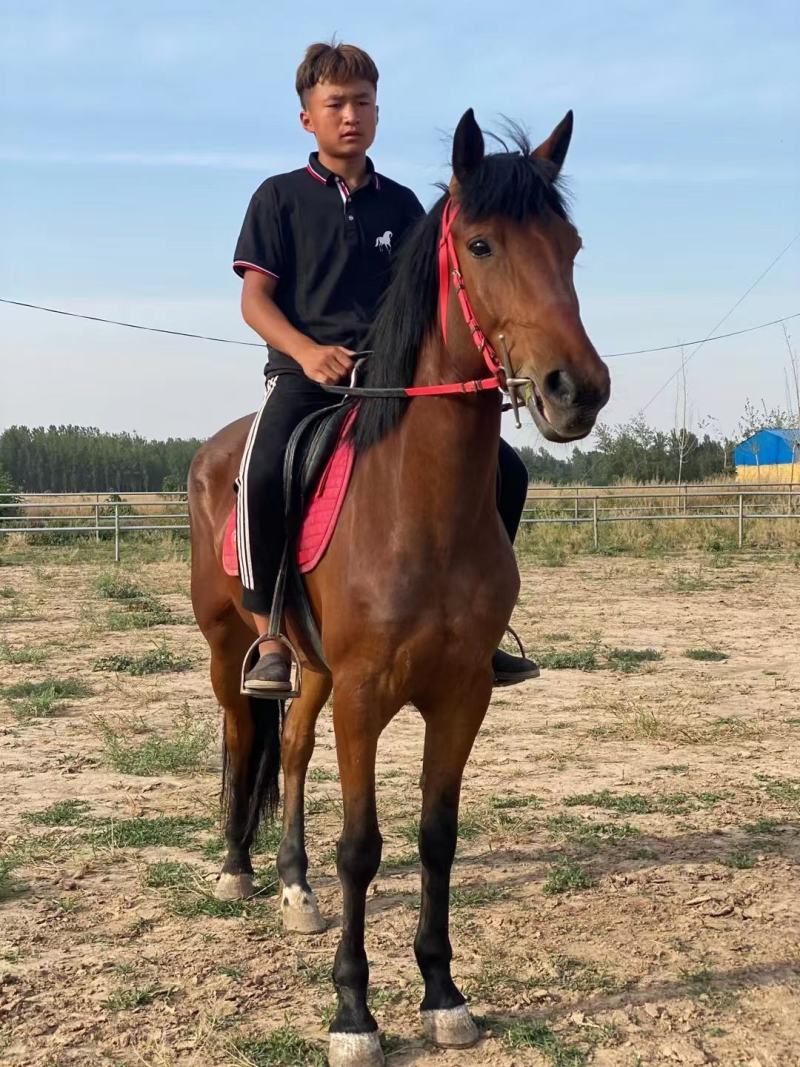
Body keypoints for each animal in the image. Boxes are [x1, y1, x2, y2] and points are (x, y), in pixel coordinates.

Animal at [188, 108, 610, 1067]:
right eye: (482, 244)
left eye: (570, 247)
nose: (578, 389)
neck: (419, 502)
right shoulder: (366, 695)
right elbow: (362, 845)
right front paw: (353, 1011)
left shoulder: (458, 695)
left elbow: (435, 837)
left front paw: (443, 992)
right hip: (231, 647)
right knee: (240, 735)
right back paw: (236, 869)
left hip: (311, 668)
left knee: (289, 745)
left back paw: (293, 887)